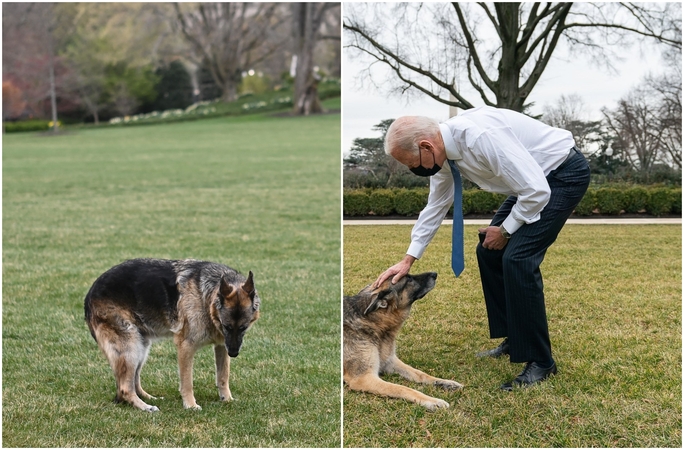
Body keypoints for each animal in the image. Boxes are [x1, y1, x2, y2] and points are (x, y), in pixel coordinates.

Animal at [83, 260, 260, 412]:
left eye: (244, 327)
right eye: (227, 326)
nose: (234, 353)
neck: (205, 296)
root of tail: (88, 296)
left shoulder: (222, 346)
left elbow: (223, 376)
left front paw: (227, 399)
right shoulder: (186, 347)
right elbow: (187, 382)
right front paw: (190, 405)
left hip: (141, 348)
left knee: (133, 382)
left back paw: (149, 398)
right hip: (131, 348)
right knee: (125, 388)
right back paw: (145, 407)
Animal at [344, 272, 462, 410]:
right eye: (409, 279)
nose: (435, 274)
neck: (372, 321)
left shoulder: (390, 362)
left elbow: (420, 374)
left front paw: (446, 382)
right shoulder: (363, 378)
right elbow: (402, 388)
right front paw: (433, 401)